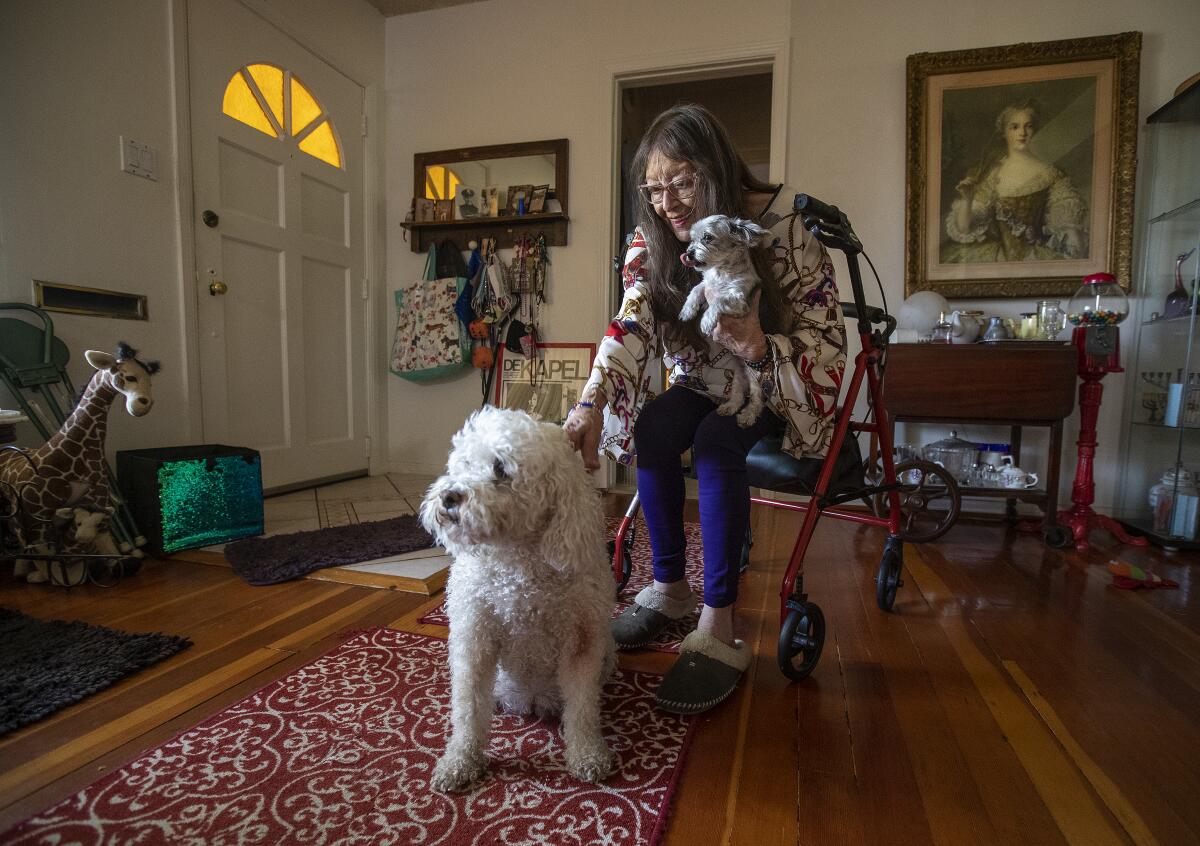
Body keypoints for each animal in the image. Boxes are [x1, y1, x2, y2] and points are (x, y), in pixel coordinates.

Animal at [420, 405, 614, 787]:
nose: (448, 496)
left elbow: (582, 708)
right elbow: (467, 709)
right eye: (464, 463)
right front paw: (459, 761)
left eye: (501, 469)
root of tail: (531, 699)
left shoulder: (582, 644)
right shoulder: (474, 638)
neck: (518, 564)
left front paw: (588, 755)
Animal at [681, 214, 772, 424]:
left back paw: (747, 416)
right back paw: (729, 407)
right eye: (692, 239)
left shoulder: (740, 302)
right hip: (738, 373)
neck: (721, 272)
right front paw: (688, 310)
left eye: (707, 237)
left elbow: (719, 301)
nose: (688, 253)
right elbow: (696, 289)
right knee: (738, 393)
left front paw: (706, 321)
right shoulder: (707, 285)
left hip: (755, 377)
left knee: (756, 398)